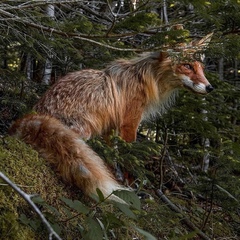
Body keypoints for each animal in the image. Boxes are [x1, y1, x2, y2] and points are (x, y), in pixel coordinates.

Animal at [8, 32, 214, 200]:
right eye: (187, 66)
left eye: (201, 68)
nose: (210, 87)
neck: (146, 80)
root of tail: (29, 115)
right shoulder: (129, 123)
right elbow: (128, 158)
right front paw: (133, 188)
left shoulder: (111, 128)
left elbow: (112, 157)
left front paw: (117, 178)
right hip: (84, 130)